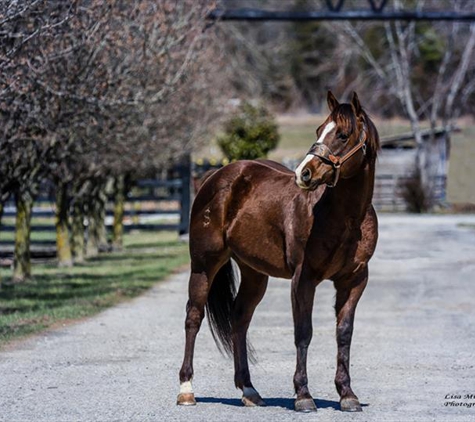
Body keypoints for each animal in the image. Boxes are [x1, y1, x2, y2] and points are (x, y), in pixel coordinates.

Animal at [177, 92, 382, 412]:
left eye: (343, 134)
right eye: (319, 129)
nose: (304, 173)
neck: (346, 217)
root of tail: (217, 175)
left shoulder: (355, 280)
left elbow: (344, 334)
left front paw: (347, 394)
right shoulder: (304, 279)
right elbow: (303, 332)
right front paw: (303, 395)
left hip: (254, 274)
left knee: (239, 319)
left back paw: (249, 390)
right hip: (203, 266)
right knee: (193, 318)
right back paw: (186, 390)